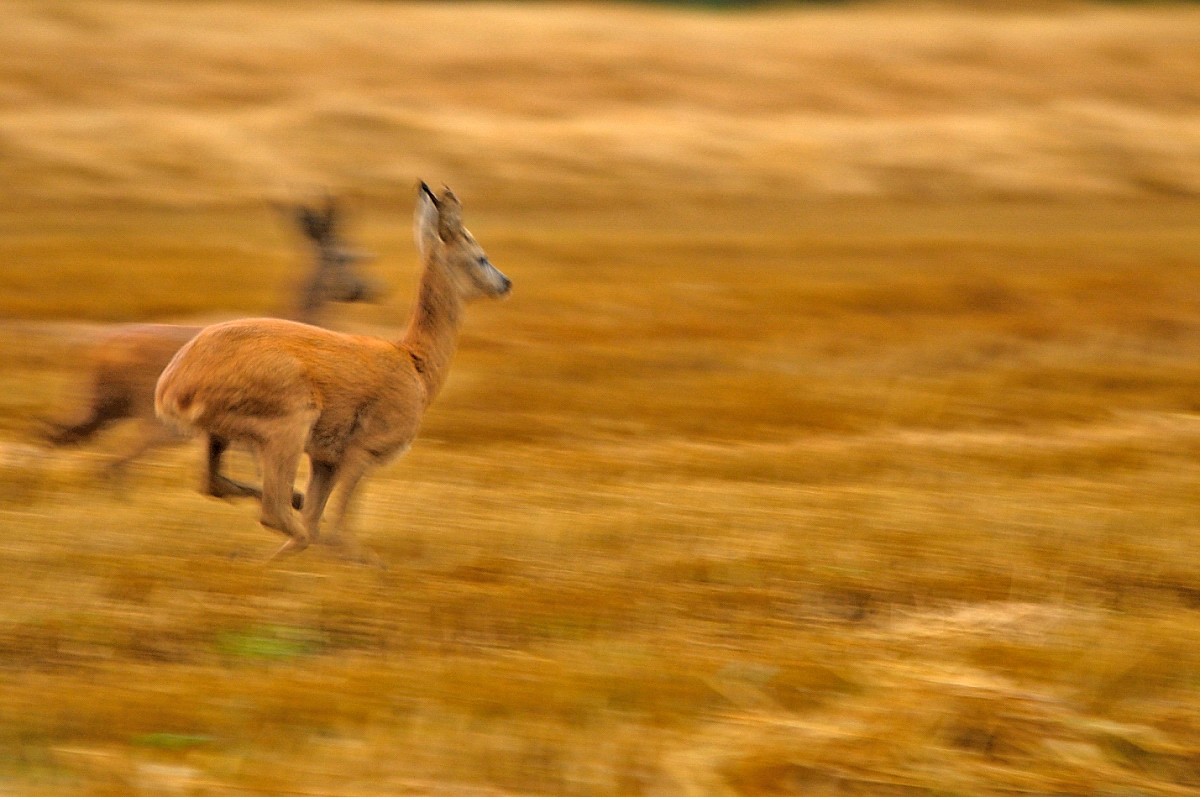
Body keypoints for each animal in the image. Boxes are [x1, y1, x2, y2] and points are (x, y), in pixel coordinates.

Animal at [42, 195, 376, 494]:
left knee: (61, 435)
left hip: (107, 407)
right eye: (344, 257)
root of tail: (100, 351)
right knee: (113, 462)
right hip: (158, 420)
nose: (372, 288)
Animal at [153, 184, 506, 564]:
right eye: (481, 257)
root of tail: (174, 382)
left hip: (220, 437)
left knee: (219, 487)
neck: (412, 360)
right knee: (277, 514)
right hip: (286, 432)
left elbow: (318, 520)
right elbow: (336, 530)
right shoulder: (360, 454)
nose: (505, 283)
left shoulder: (325, 462)